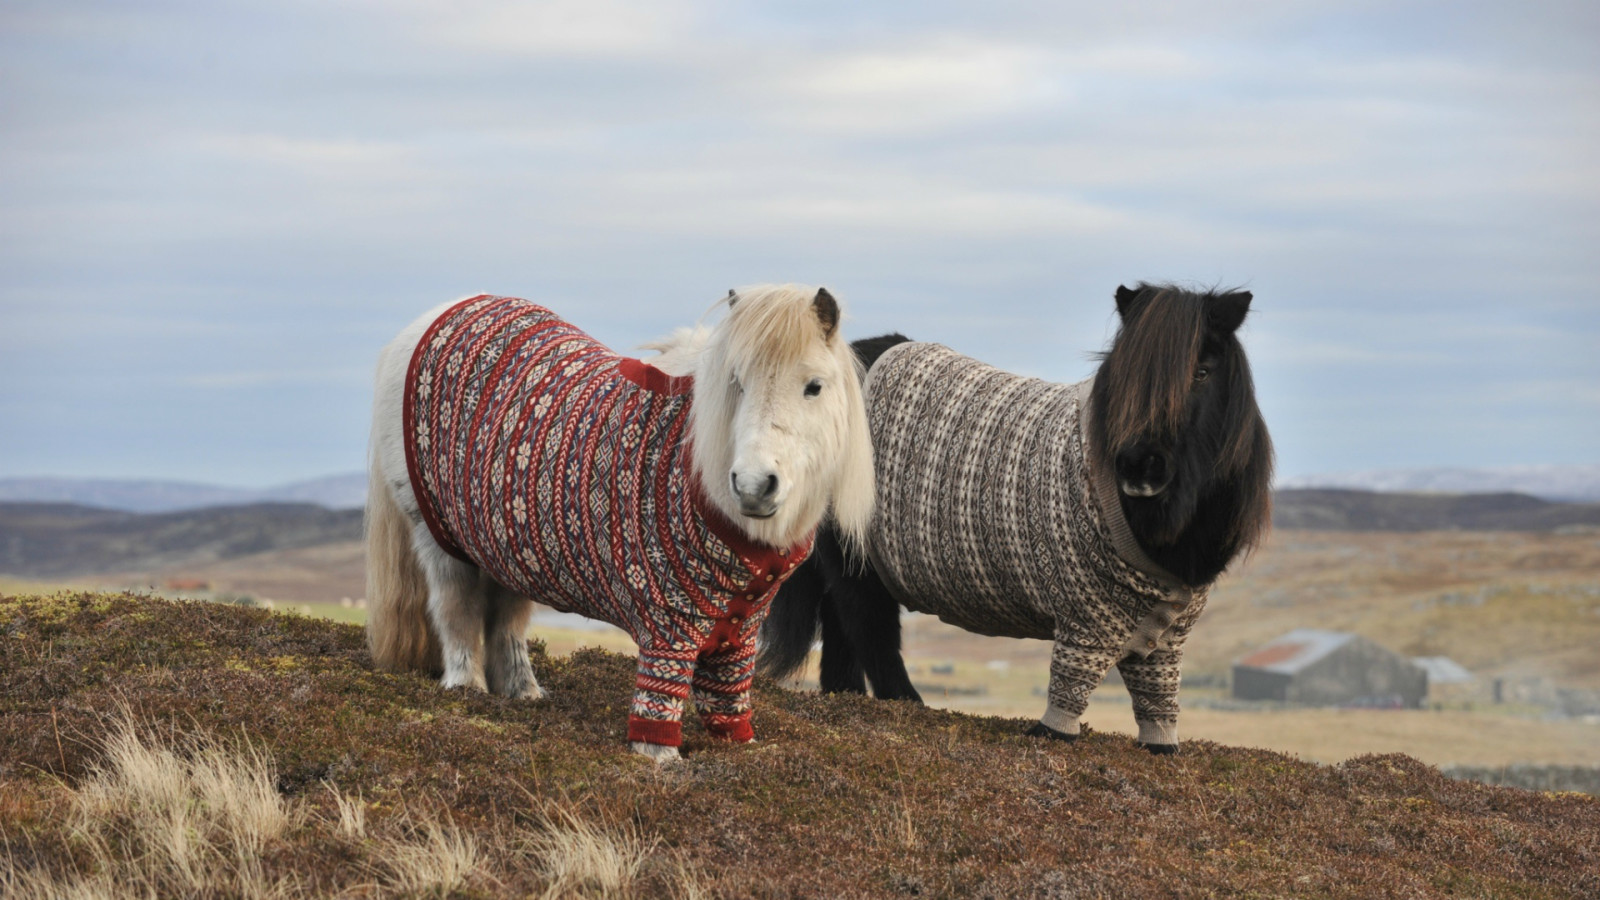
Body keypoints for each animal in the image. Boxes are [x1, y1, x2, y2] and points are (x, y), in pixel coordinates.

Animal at [366, 281, 876, 755]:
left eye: (814, 386)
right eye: (737, 382)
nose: (753, 485)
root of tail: (439, 315)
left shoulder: (739, 632)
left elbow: (728, 701)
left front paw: (741, 749)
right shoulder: (668, 626)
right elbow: (660, 702)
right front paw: (661, 759)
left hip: (508, 546)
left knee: (506, 621)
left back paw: (523, 693)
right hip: (438, 538)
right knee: (456, 609)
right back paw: (466, 689)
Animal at [758, 280, 1273, 749]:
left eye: (1202, 371)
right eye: (1124, 373)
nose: (1139, 466)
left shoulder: (1166, 639)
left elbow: (1157, 698)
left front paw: (1161, 745)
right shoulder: (1083, 620)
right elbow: (1070, 688)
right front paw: (1052, 735)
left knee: (843, 629)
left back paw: (846, 697)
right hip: (857, 557)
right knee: (869, 629)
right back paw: (907, 703)